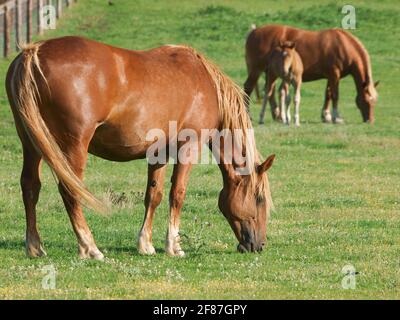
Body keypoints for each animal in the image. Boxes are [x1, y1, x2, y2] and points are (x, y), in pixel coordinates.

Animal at [5, 36, 276, 260]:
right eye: (259, 198)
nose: (259, 245)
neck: (204, 83)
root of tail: (34, 52)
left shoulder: (160, 152)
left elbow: (154, 195)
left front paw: (145, 244)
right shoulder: (189, 146)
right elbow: (177, 193)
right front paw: (174, 246)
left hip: (31, 143)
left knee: (30, 186)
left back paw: (34, 247)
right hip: (73, 146)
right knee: (70, 191)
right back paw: (89, 248)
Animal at [244, 24, 378, 124]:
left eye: (374, 101)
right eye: (366, 100)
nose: (370, 121)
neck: (344, 45)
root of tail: (254, 31)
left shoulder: (331, 76)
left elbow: (328, 94)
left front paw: (326, 116)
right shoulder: (334, 74)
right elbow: (335, 95)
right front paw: (336, 117)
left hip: (270, 72)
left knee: (269, 91)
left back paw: (277, 115)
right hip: (256, 70)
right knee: (248, 88)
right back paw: (248, 115)